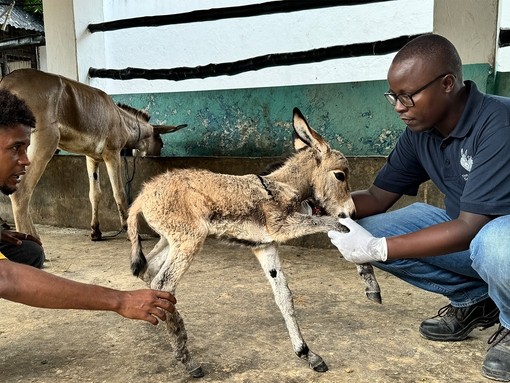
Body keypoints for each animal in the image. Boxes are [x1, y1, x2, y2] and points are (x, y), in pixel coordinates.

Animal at [129, 108, 380, 378]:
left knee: (148, 270)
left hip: (170, 240)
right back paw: (187, 358)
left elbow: (284, 296)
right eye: (340, 175)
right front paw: (369, 279)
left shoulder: (265, 245)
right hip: (189, 240)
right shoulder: (282, 227)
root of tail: (142, 195)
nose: (352, 212)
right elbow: (334, 224)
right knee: (163, 283)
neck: (282, 186)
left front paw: (307, 354)